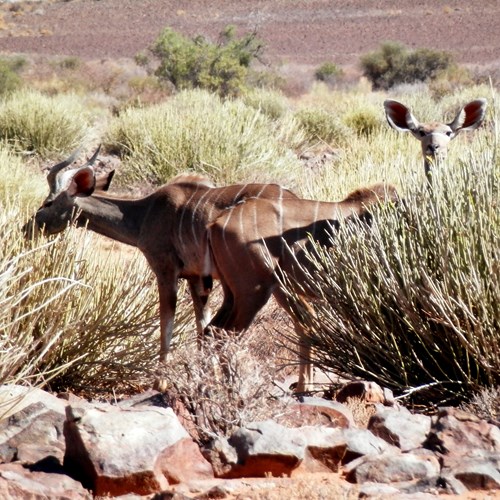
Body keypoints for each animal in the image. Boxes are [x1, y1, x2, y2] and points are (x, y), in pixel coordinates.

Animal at [23, 147, 296, 364]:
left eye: (48, 203)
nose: (27, 228)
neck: (145, 214)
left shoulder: (166, 271)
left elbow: (167, 326)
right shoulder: (197, 279)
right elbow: (201, 327)